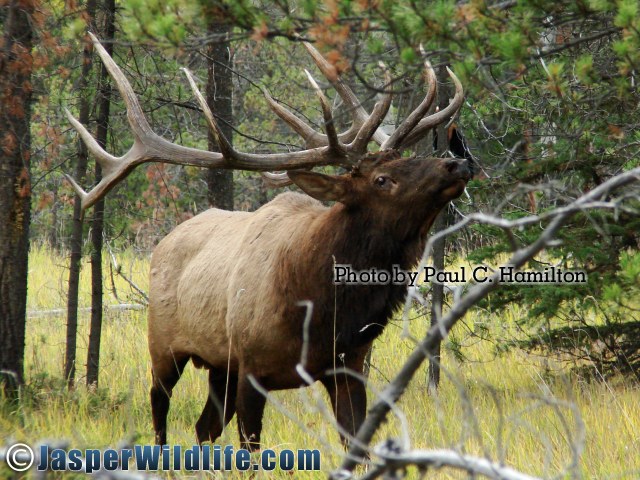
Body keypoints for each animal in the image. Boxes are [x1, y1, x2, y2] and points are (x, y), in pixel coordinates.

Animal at [67, 33, 470, 450]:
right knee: (159, 410)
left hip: (219, 366)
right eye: (382, 179)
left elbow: (356, 442)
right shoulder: (251, 367)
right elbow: (251, 446)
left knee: (204, 427)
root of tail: (165, 241)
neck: (320, 309)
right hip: (164, 346)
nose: (457, 163)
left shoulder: (348, 365)